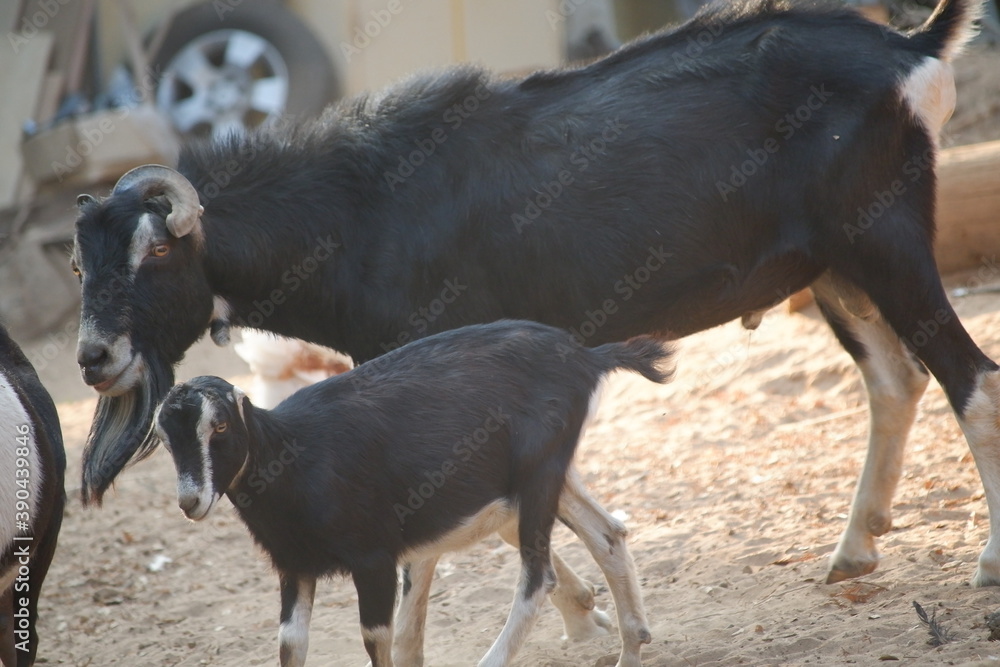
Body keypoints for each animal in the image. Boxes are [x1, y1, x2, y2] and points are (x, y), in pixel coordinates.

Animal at [72, 0, 992, 592]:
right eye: (83, 264)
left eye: (157, 248)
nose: (92, 357)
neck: (359, 207)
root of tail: (911, 48)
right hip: (833, 266)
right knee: (896, 381)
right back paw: (854, 550)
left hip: (886, 238)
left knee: (969, 377)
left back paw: (983, 566)